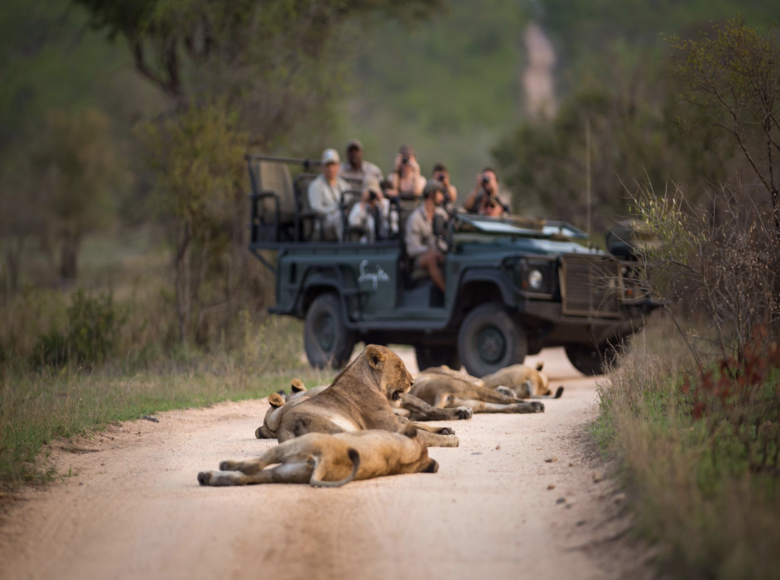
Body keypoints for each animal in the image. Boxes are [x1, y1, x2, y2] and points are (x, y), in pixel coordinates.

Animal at [198, 424, 436, 488]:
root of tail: (329, 460)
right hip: (284, 472)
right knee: (246, 477)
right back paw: (208, 477)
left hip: (295, 445)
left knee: (253, 466)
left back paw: (223, 465)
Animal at [253, 344, 460, 448]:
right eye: (399, 367)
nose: (412, 382)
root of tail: (284, 430)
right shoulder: (392, 427)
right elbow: (424, 434)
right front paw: (450, 440)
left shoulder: (395, 421)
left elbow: (418, 424)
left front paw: (445, 429)